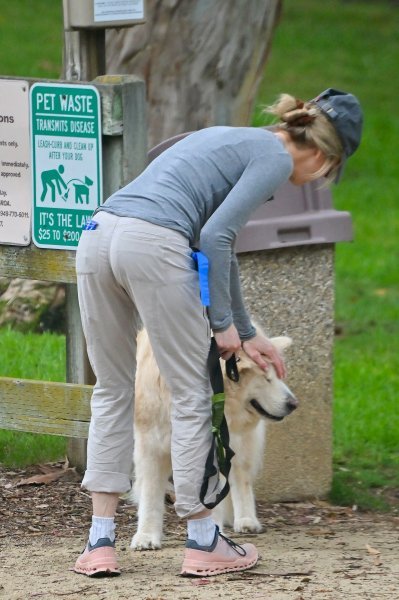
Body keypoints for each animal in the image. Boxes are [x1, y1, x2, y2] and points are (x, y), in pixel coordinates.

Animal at [130, 326, 298, 552]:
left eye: (276, 377)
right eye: (267, 378)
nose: (294, 404)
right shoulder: (150, 446)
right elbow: (150, 495)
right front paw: (146, 536)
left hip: (239, 445)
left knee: (241, 479)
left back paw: (245, 520)